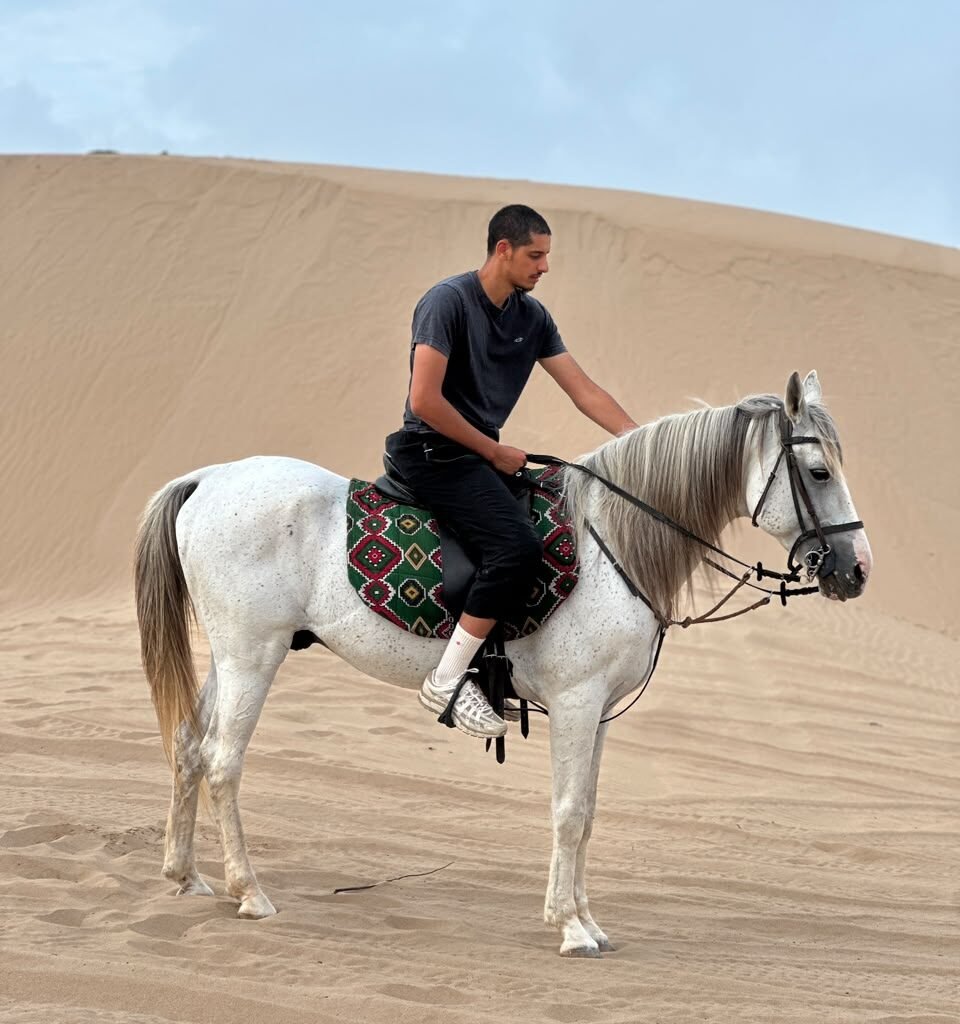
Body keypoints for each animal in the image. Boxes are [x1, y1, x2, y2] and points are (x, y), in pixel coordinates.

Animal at [134, 370, 872, 957]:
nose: (859, 571)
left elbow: (587, 811)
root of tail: (210, 479)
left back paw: (186, 875)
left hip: (229, 656)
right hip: (251, 655)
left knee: (189, 747)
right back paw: (249, 892)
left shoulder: (599, 714)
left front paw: (584, 920)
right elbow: (569, 812)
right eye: (819, 473)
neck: (611, 540)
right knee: (223, 762)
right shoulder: (576, 701)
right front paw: (571, 928)